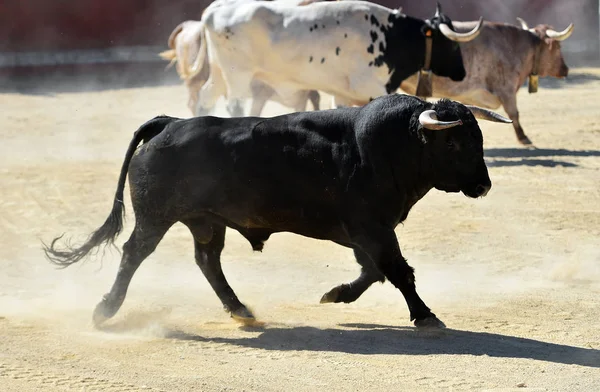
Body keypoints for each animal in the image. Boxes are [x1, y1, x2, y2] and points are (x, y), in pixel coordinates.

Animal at [44, 95, 508, 328]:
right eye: (454, 142)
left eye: (480, 138)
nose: (484, 186)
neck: (390, 146)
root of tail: (170, 123)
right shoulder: (372, 229)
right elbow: (396, 270)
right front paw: (425, 315)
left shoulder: (365, 233)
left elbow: (375, 271)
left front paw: (336, 295)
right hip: (155, 217)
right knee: (133, 254)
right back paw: (105, 310)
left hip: (205, 221)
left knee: (207, 260)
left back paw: (239, 309)